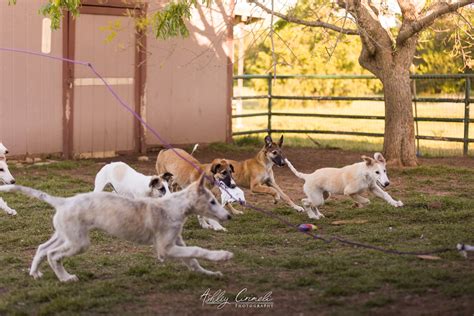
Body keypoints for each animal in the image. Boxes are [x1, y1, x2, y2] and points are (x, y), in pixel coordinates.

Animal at [0, 177, 231, 282]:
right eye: (212, 201)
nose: (228, 217)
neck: (174, 206)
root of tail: (63, 201)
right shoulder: (165, 249)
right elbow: (197, 250)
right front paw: (223, 255)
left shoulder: (177, 242)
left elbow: (193, 260)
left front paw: (210, 273)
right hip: (78, 242)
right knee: (54, 255)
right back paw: (66, 278)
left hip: (65, 235)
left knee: (42, 248)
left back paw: (35, 272)